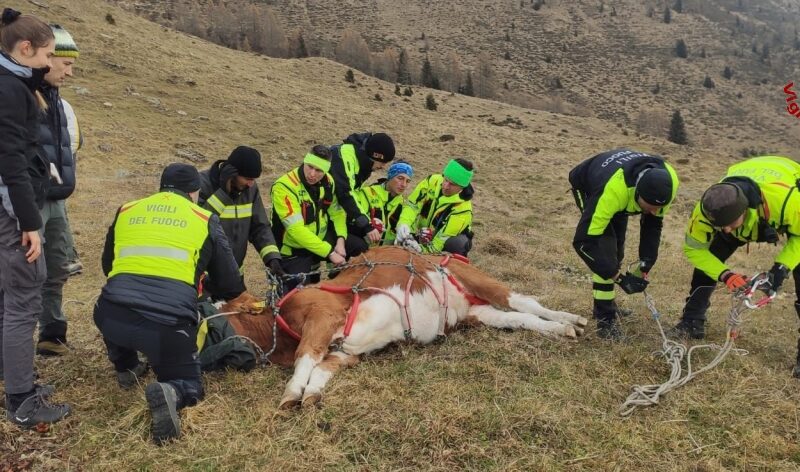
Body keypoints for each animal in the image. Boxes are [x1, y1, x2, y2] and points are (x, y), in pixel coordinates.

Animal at [222, 247, 584, 410]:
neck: (278, 324)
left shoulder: (323, 315)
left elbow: (305, 356)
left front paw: (292, 392)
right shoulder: (344, 352)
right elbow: (322, 367)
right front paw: (311, 394)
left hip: (478, 279)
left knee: (524, 302)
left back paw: (572, 319)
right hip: (477, 313)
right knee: (519, 318)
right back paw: (563, 329)